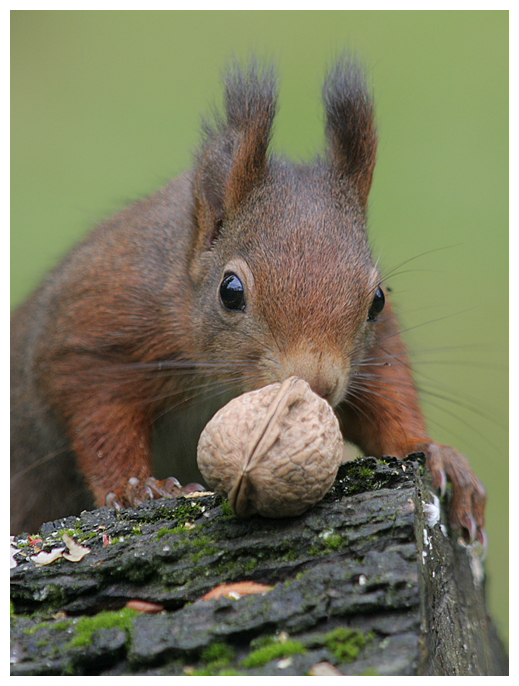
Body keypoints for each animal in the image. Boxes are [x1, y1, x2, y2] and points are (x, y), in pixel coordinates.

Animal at [9, 57, 488, 544]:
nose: (316, 384)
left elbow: (387, 397)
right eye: (230, 291)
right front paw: (135, 487)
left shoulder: (376, 353)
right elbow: (97, 414)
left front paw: (432, 451)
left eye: (377, 300)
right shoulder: (99, 323)